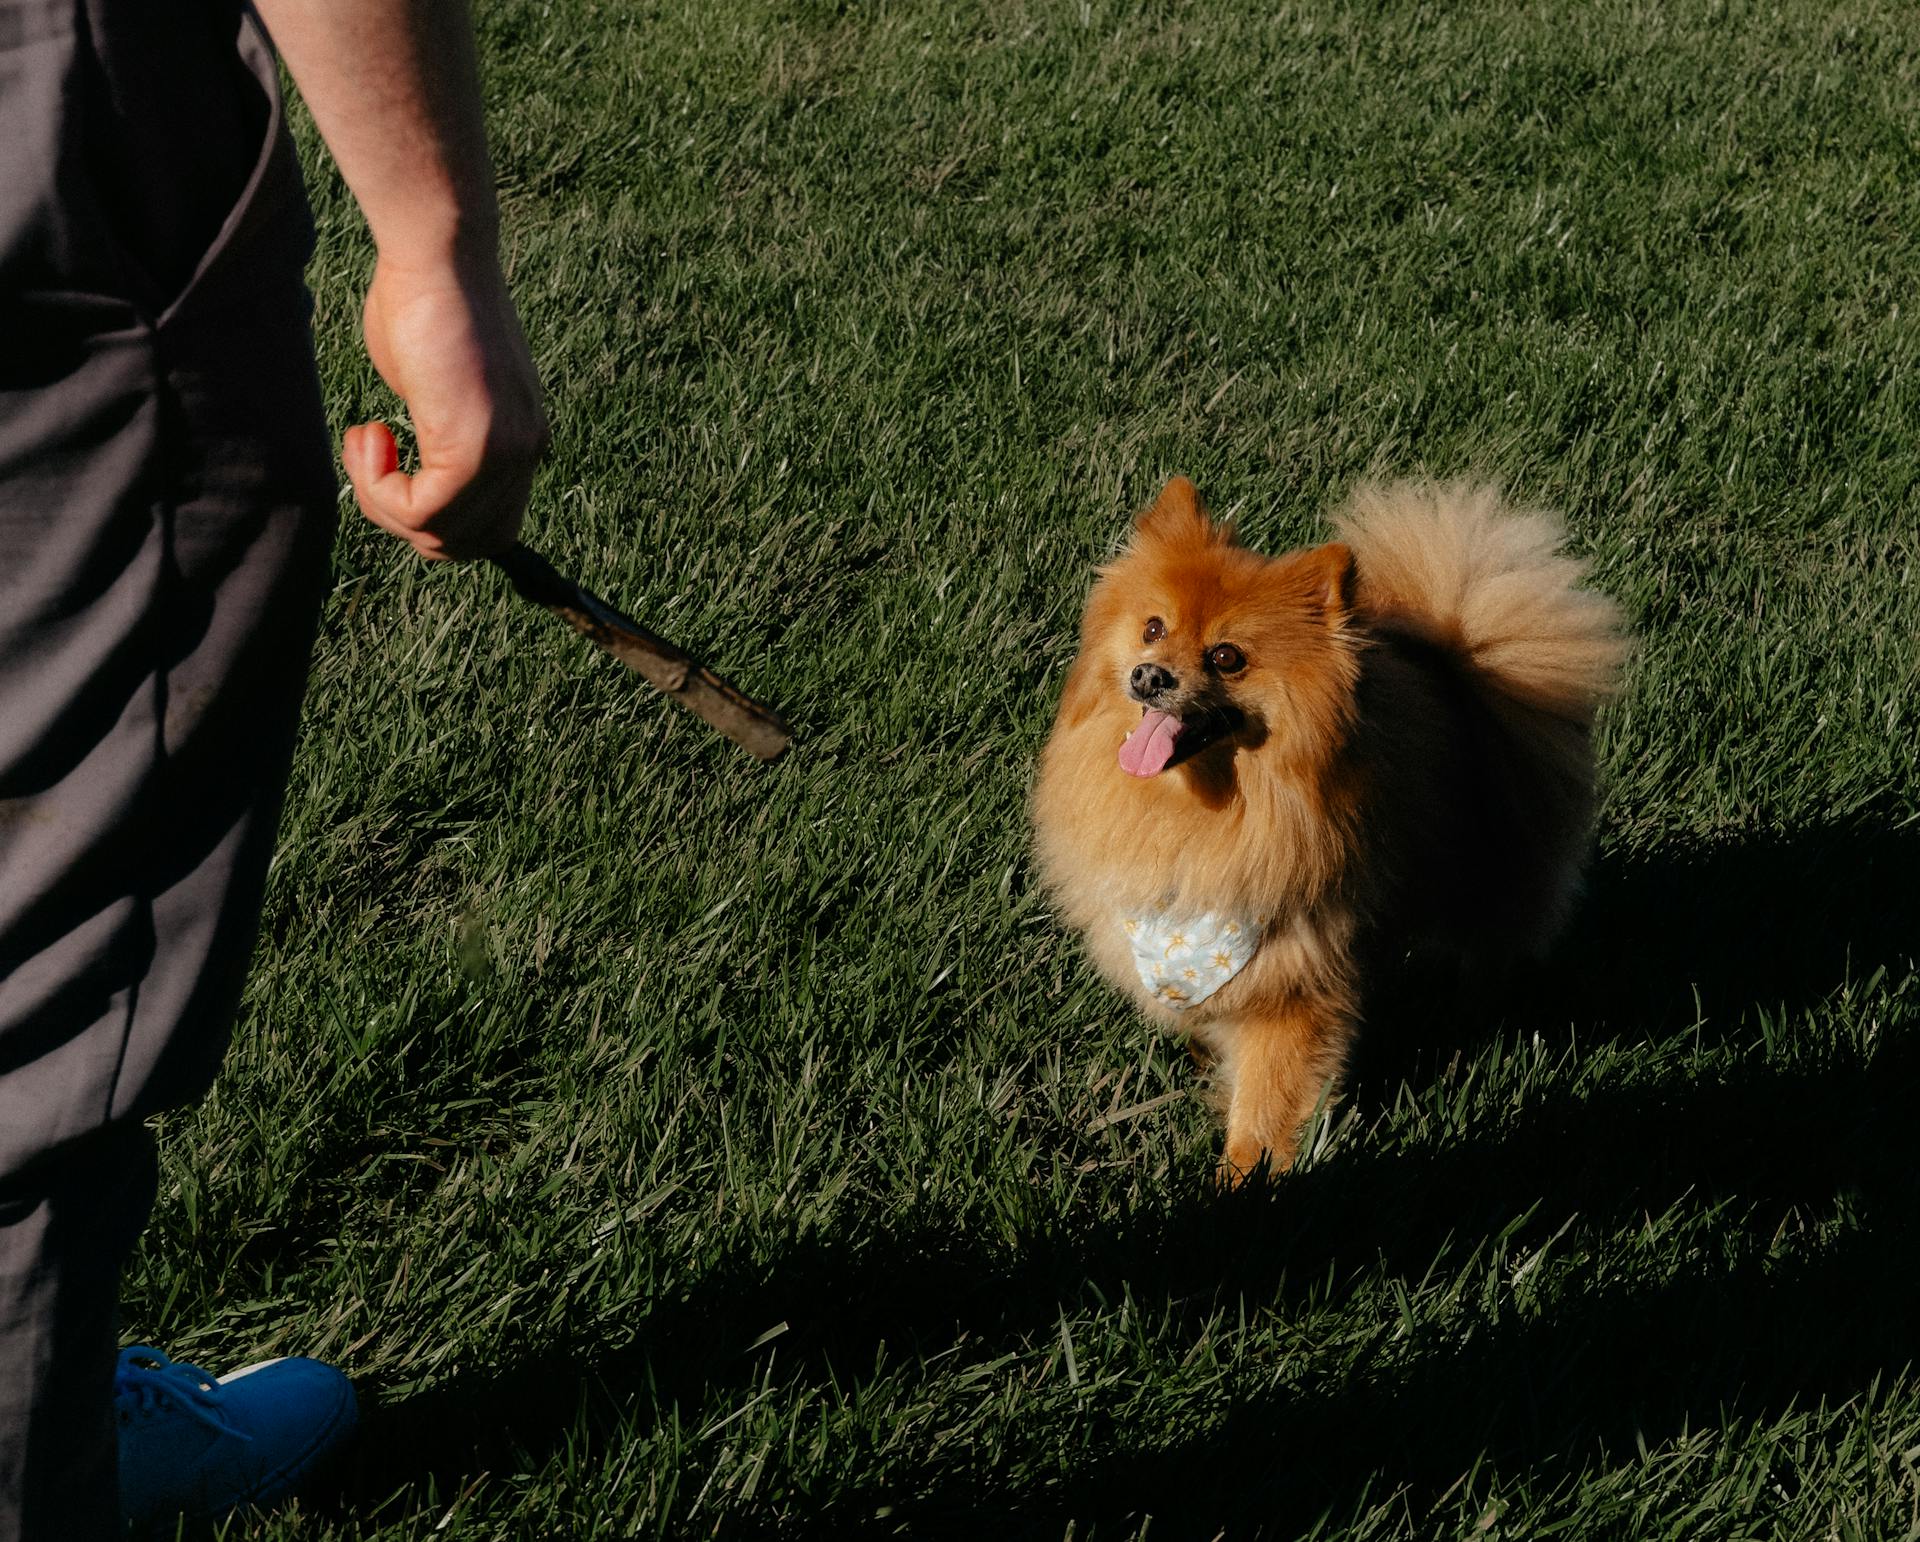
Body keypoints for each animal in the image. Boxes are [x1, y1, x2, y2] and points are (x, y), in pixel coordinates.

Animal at [1036, 480, 1620, 1182]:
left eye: (1226, 657)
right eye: (1153, 629)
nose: (1150, 676)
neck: (1204, 814)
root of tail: (1456, 665)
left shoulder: (1297, 984)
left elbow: (1268, 1101)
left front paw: (1246, 1179)